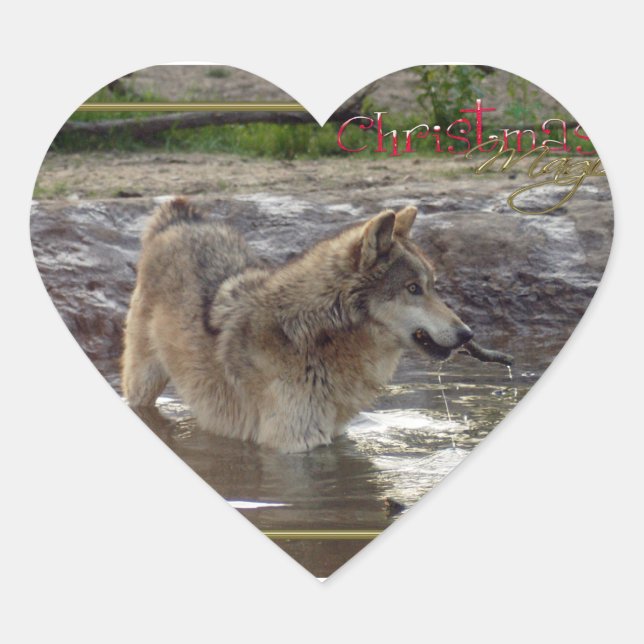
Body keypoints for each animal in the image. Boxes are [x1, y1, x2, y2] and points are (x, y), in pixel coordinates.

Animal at [121, 197, 473, 452]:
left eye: (433, 286)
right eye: (413, 289)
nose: (467, 334)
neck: (315, 337)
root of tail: (179, 213)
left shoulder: (332, 438)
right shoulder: (291, 446)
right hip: (144, 381)